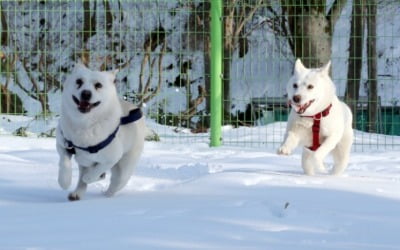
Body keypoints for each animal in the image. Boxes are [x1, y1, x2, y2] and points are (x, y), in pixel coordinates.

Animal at [55, 63, 145, 200]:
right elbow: (64, 162)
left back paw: (106, 195)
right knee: (85, 176)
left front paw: (89, 177)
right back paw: (77, 193)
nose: (86, 93)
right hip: (84, 162)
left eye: (98, 85)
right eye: (79, 81)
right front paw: (64, 181)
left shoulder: (112, 157)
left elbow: (96, 171)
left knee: (115, 183)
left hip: (124, 169)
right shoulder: (62, 144)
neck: (85, 124)